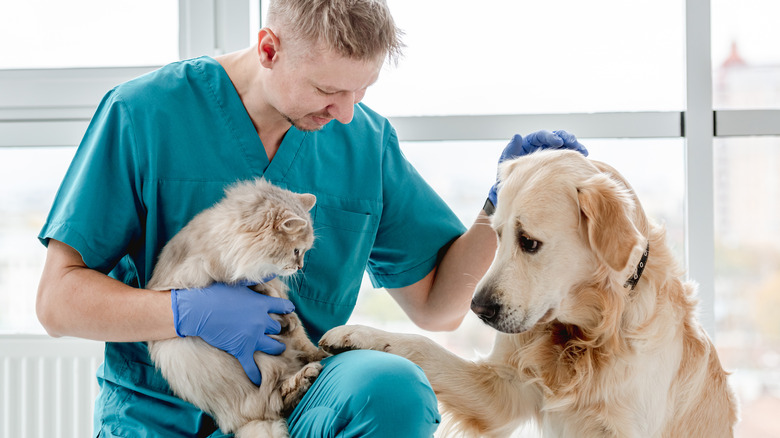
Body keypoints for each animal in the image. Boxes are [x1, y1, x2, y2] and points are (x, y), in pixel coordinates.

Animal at [148, 178, 328, 438]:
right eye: (296, 251)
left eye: (303, 253)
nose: (300, 266)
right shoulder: (196, 275)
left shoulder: (278, 293)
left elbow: (297, 328)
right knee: (270, 402)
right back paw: (304, 377)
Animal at [320, 149, 740, 436]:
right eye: (497, 235)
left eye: (529, 242)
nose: (478, 308)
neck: (587, 335)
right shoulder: (502, 391)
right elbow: (422, 345)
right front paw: (360, 334)